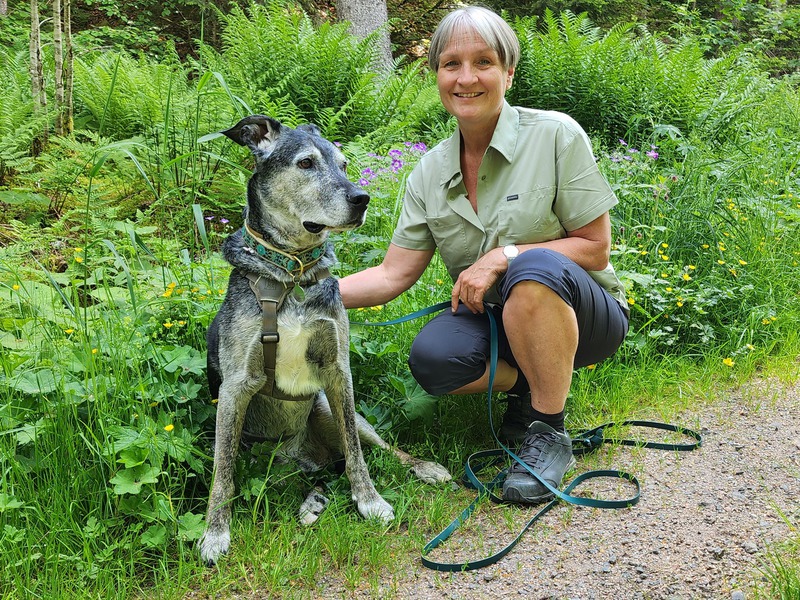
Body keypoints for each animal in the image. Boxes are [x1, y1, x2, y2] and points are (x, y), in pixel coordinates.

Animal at [198, 116, 451, 566]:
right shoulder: (235, 388)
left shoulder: (338, 372)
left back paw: (423, 467)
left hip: (328, 411)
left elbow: (356, 455)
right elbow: (222, 475)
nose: (362, 198)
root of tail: (307, 457)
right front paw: (215, 533)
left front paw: (370, 502)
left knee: (373, 449)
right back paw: (310, 501)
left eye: (345, 164)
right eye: (305, 163)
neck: (293, 273)